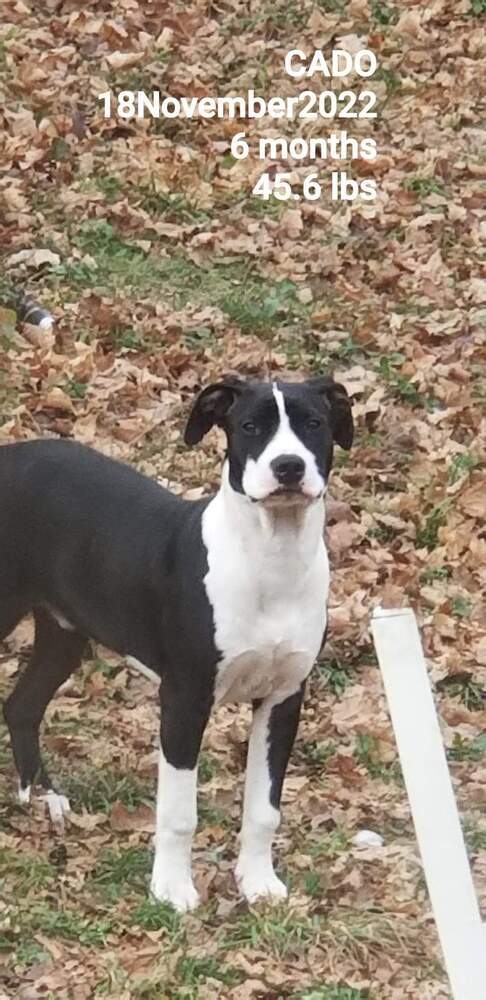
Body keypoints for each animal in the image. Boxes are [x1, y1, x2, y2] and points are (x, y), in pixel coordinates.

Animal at [0, 376, 354, 916]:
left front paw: (257, 882)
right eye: (250, 426)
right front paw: (171, 890)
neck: (271, 558)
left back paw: (44, 798)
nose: (288, 467)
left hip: (64, 629)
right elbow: (179, 813)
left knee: (21, 705)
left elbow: (264, 808)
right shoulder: (185, 698)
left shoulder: (283, 697)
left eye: (314, 423)